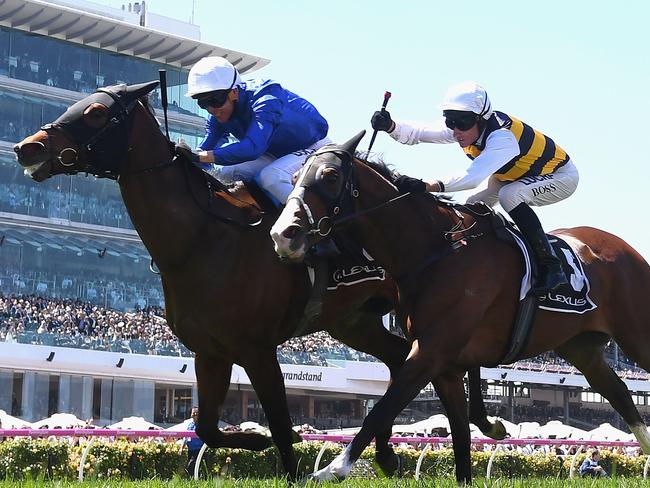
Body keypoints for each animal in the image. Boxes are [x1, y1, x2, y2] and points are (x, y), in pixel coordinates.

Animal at [11, 82, 502, 478]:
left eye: (96, 112)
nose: (28, 147)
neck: (201, 237)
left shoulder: (257, 348)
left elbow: (283, 429)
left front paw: (286, 450)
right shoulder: (210, 351)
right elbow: (208, 426)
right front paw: (253, 439)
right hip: (355, 322)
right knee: (402, 362)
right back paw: (387, 454)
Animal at [268, 131, 648, 484]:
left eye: (331, 176)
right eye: (294, 177)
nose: (283, 234)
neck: (436, 249)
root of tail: (628, 251)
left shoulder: (431, 352)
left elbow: (380, 410)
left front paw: (331, 470)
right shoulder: (446, 366)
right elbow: (461, 435)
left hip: (635, 337)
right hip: (581, 348)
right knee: (620, 394)